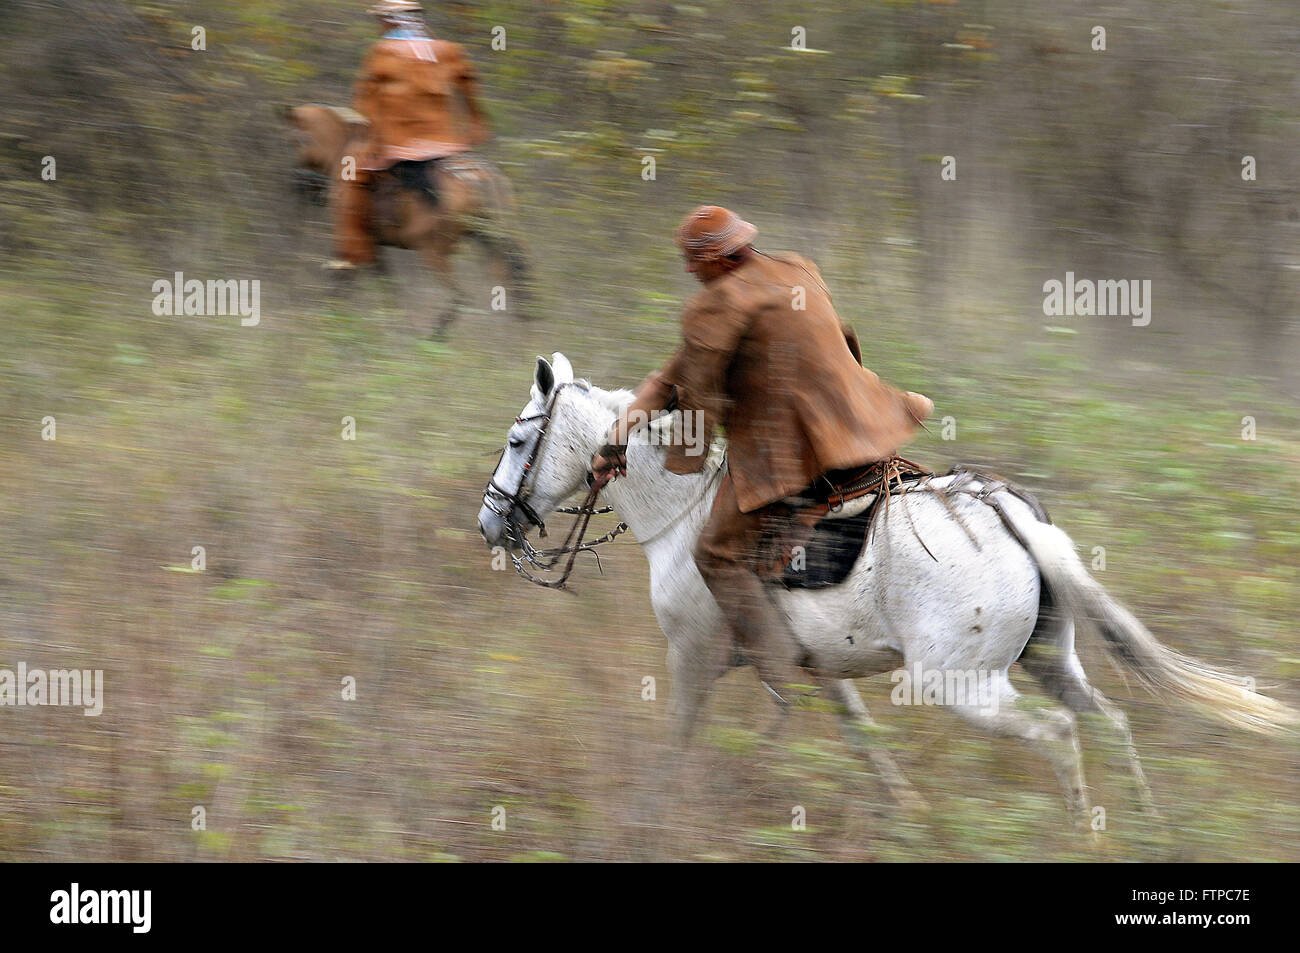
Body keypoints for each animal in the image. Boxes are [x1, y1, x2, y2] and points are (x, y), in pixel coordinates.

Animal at [283, 102, 527, 332]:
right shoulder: (373, 246)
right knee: (507, 284)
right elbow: (387, 285)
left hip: (434, 252)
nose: (299, 181)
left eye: (296, 140)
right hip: (486, 242)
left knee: (461, 295)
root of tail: (480, 176)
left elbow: (350, 281)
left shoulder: (358, 241)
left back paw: (436, 336)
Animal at [480, 353, 1300, 821]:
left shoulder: (695, 658)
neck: (680, 511)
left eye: (519, 440)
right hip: (1051, 657)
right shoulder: (818, 672)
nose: (491, 523)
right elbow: (865, 742)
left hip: (963, 683)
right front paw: (905, 810)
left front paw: (648, 817)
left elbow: (677, 739)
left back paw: (1084, 834)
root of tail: (1002, 511)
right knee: (1110, 724)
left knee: (1060, 734)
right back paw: (1143, 828)